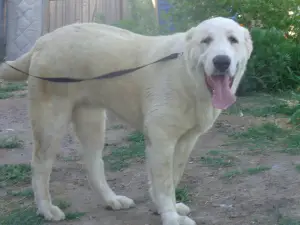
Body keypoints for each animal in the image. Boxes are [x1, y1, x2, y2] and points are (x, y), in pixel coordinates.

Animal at [0, 16, 253, 224]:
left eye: (233, 40)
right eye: (206, 41)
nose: (221, 61)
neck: (188, 77)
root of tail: (42, 40)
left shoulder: (184, 141)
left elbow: (172, 177)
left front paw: (164, 207)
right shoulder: (161, 141)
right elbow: (164, 183)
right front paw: (170, 216)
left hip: (92, 122)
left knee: (93, 164)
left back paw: (111, 200)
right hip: (51, 123)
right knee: (40, 166)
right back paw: (47, 210)